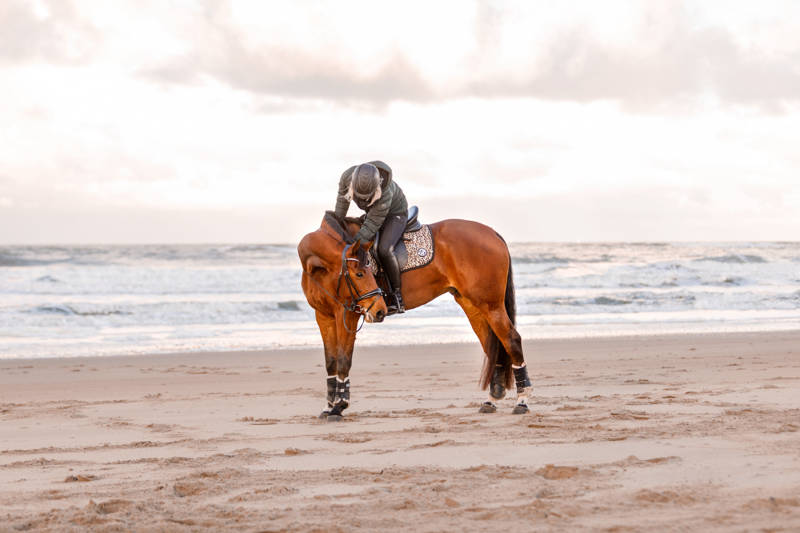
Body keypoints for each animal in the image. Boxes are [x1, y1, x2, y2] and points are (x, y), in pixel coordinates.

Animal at [296, 210, 532, 422]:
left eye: (367, 272)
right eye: (360, 273)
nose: (380, 310)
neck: (320, 270)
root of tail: (491, 232)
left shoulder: (348, 314)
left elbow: (344, 360)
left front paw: (339, 406)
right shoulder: (323, 316)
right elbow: (331, 362)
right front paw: (329, 407)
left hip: (491, 305)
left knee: (511, 340)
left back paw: (522, 401)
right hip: (473, 305)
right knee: (493, 345)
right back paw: (493, 398)